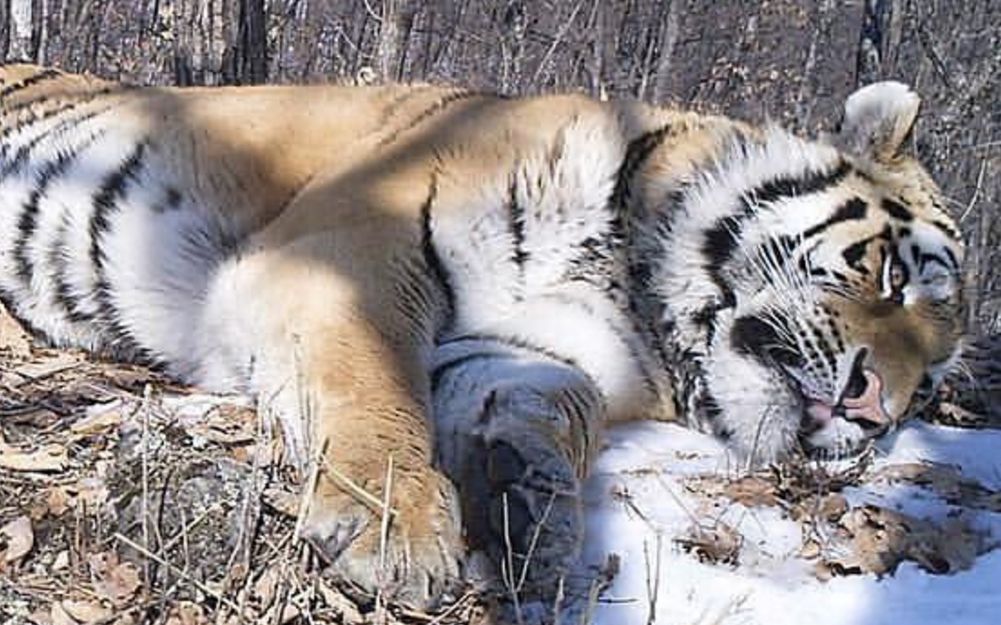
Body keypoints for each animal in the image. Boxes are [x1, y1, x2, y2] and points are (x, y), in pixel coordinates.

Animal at [0, 67, 960, 604]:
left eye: (936, 373)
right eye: (893, 274)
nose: (876, 414)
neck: (637, 288)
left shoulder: (533, 351)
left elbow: (555, 407)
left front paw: (530, 503)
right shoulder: (346, 253)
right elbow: (375, 383)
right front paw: (397, 529)